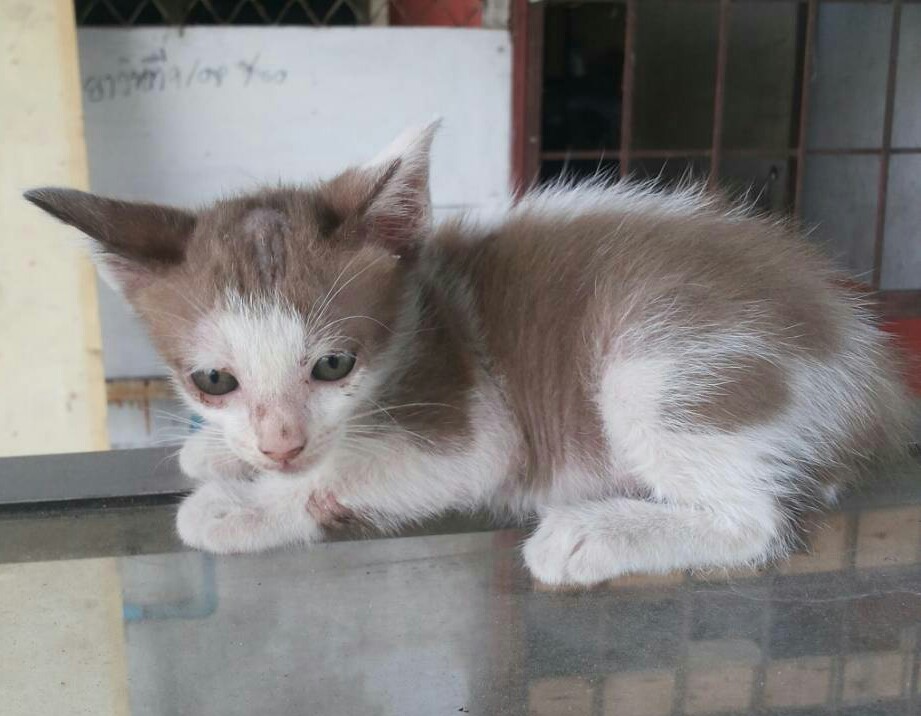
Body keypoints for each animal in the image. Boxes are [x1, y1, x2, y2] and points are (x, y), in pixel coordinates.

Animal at [26, 122, 912, 586]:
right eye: (213, 380)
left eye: (333, 366)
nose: (280, 443)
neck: (419, 319)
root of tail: (863, 359)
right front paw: (220, 453)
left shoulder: (475, 428)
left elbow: (354, 471)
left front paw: (246, 507)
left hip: (661, 357)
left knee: (755, 520)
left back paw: (590, 535)